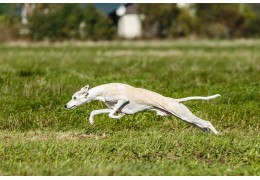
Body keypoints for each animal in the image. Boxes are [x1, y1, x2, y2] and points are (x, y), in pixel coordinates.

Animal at [64, 82, 219, 134]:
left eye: (75, 98)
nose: (65, 105)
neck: (102, 90)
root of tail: (175, 100)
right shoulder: (113, 106)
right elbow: (95, 111)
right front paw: (91, 121)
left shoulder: (122, 100)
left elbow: (111, 114)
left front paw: (118, 117)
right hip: (185, 118)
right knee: (202, 126)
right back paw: (208, 134)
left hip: (184, 115)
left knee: (207, 122)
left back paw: (218, 135)